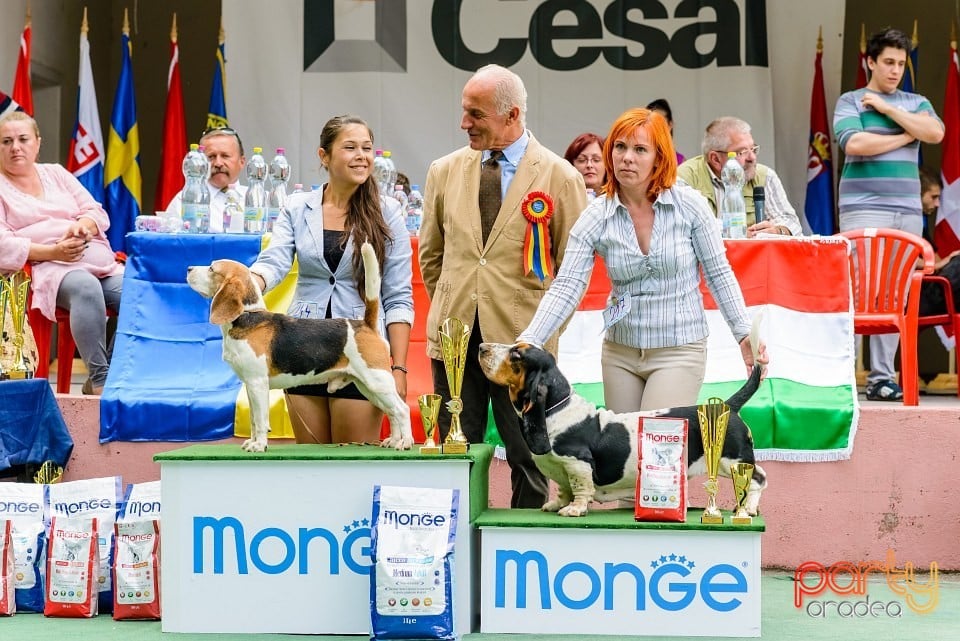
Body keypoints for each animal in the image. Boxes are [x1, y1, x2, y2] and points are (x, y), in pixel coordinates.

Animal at [188, 242, 412, 452]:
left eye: (212, 268)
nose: (189, 268)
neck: (247, 316)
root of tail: (365, 324)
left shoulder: (258, 384)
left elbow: (260, 420)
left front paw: (259, 445)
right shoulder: (250, 386)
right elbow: (252, 420)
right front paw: (252, 442)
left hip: (377, 381)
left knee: (402, 410)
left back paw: (406, 442)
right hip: (368, 387)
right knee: (392, 412)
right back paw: (393, 440)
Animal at [476, 342, 768, 516]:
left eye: (517, 354)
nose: (481, 346)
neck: (556, 409)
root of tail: (728, 407)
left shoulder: (577, 464)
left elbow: (580, 489)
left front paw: (574, 510)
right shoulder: (563, 470)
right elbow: (563, 488)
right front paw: (557, 504)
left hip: (731, 461)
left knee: (758, 479)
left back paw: (748, 510)